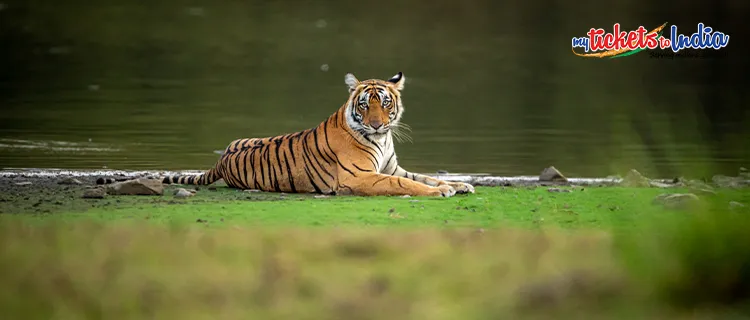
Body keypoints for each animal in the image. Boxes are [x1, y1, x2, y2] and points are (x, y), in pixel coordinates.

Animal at [160, 72, 476, 196]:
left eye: (386, 102)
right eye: (365, 104)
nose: (376, 125)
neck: (382, 139)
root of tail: (222, 157)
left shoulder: (392, 168)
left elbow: (425, 176)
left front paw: (459, 184)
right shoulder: (360, 176)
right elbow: (405, 184)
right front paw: (442, 191)